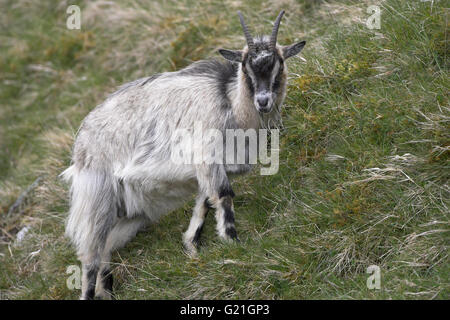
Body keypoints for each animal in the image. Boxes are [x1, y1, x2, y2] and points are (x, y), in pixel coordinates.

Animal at [60, 10, 306, 300]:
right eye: (246, 67)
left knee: (105, 247)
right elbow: (223, 196)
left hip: (130, 212)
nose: (263, 101)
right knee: (90, 256)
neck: (231, 103)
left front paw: (192, 246)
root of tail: (80, 142)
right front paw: (233, 243)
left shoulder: (213, 168)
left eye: (279, 63)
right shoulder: (207, 157)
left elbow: (205, 202)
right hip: (97, 197)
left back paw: (107, 290)